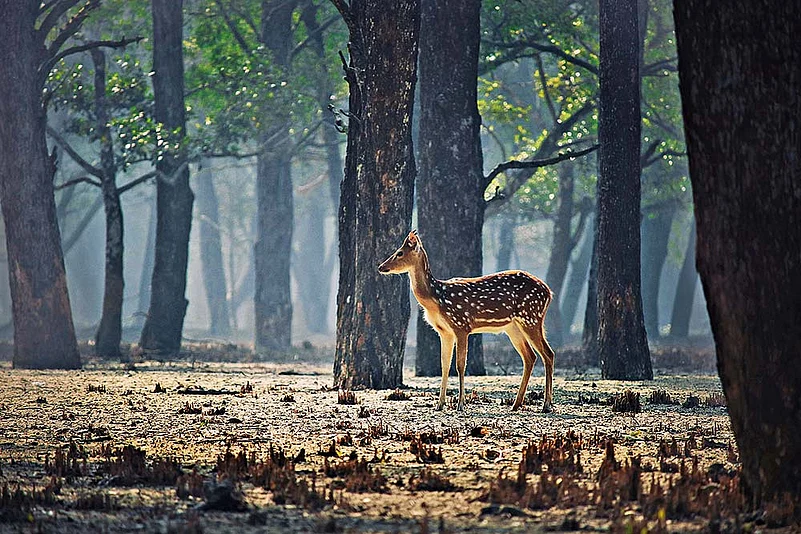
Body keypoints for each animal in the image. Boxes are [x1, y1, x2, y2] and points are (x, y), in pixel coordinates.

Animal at [378, 230, 555, 413]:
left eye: (400, 253)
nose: (381, 267)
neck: (437, 299)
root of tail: (549, 293)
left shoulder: (461, 325)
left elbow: (460, 364)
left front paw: (461, 404)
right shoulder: (444, 332)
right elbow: (445, 365)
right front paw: (440, 404)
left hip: (531, 317)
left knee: (548, 354)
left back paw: (546, 404)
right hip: (513, 327)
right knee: (530, 357)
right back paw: (516, 404)